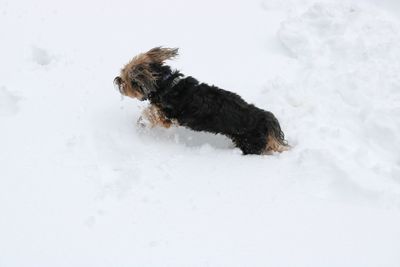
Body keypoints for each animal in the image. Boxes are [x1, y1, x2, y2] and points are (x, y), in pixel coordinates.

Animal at [113, 47, 288, 154]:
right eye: (122, 71)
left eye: (126, 79)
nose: (116, 80)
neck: (167, 84)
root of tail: (266, 120)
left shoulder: (167, 117)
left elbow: (150, 113)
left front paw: (141, 123)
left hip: (250, 145)